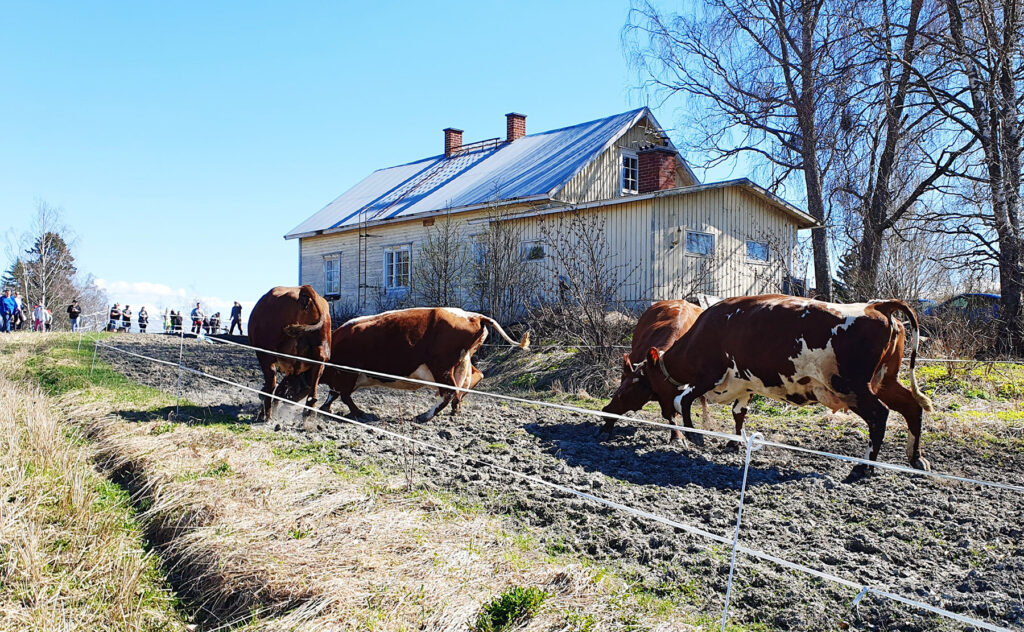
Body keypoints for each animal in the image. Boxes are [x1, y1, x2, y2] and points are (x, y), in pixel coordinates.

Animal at [245, 286, 329, 424]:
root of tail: (304, 289)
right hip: (321, 358)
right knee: (313, 387)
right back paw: (309, 414)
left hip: (266, 355)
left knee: (271, 382)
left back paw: (265, 415)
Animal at [317, 307, 528, 422]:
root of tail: (473, 316)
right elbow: (335, 394)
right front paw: (325, 408)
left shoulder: (346, 373)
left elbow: (343, 396)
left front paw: (360, 414)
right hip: (463, 362)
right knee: (470, 380)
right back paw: (455, 409)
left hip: (441, 366)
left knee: (449, 391)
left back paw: (424, 416)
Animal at [598, 301, 708, 444]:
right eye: (620, 392)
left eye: (626, 394)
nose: (606, 411)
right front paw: (606, 428)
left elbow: (672, 415)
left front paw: (677, 436)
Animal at [626, 295, 933, 477]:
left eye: (647, 381)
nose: (665, 415)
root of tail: (876, 305)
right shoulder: (745, 384)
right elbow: (739, 414)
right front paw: (734, 443)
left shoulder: (708, 375)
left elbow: (684, 400)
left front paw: (695, 436)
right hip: (885, 380)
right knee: (912, 407)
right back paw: (916, 459)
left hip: (853, 386)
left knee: (879, 416)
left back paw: (862, 468)